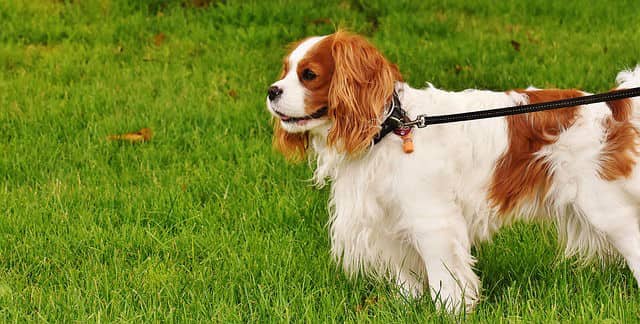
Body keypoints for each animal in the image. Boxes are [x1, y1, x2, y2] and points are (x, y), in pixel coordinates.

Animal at [264, 30, 640, 312]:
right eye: (285, 71)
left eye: (309, 75)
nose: (271, 90)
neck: (390, 128)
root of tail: (611, 105)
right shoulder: (389, 219)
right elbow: (406, 277)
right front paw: (407, 307)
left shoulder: (432, 220)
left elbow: (444, 277)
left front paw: (451, 311)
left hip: (604, 206)